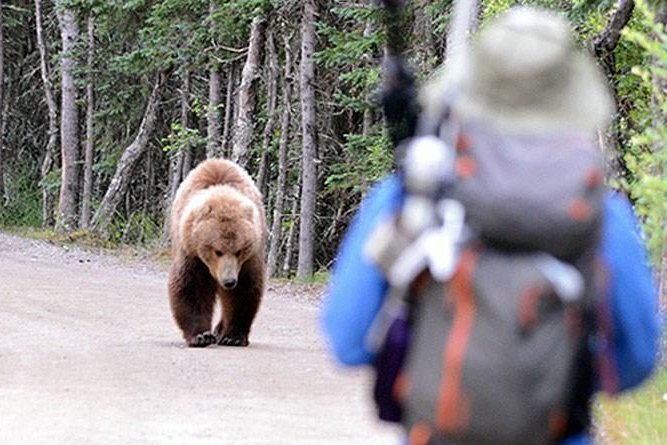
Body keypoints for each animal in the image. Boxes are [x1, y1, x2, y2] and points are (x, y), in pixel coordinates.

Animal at [168, 159, 268, 346]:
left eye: (239, 250)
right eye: (217, 251)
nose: (229, 281)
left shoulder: (248, 259)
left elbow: (242, 291)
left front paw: (233, 336)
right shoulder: (192, 253)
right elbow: (192, 287)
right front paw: (201, 335)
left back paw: (220, 330)